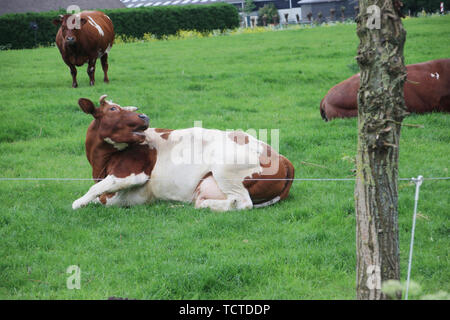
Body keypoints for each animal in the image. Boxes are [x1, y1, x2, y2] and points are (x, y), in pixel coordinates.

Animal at [71, 94, 294, 212]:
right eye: (113, 109)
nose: (144, 116)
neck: (100, 164)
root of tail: (283, 158)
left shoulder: (132, 173)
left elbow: (92, 193)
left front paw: (79, 202)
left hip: (227, 171)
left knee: (242, 203)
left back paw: (202, 204)